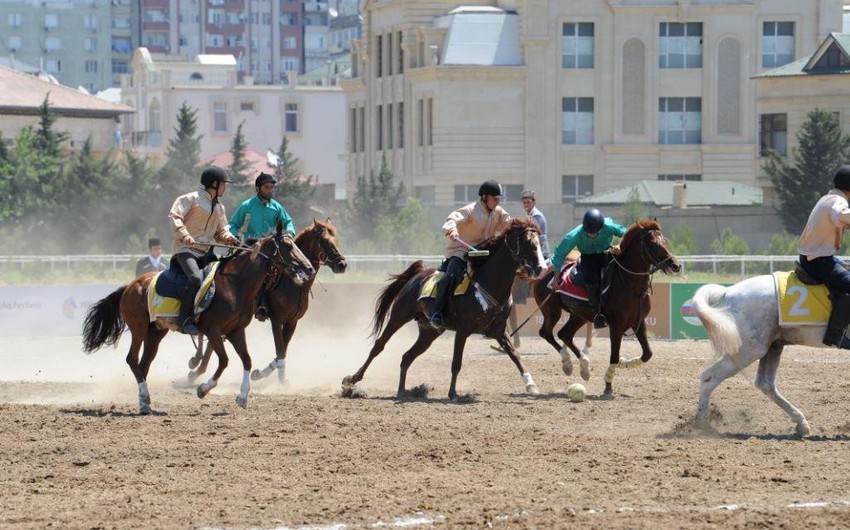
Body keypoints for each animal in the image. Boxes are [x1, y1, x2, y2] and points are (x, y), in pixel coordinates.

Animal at [81, 222, 314, 412]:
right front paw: (203, 389)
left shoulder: (236, 331)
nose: (309, 269)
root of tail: (129, 286)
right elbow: (224, 360)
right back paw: (146, 398)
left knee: (143, 364)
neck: (234, 284)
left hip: (156, 332)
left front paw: (242, 397)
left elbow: (247, 360)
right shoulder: (213, 331)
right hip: (138, 328)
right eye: (288, 247)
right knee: (132, 360)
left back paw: (145, 402)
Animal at [186, 217, 348, 382]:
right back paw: (196, 364)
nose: (342, 264)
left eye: (336, 239)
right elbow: (280, 350)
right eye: (324, 240)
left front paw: (261, 373)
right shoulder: (276, 319)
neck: (294, 284)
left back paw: (198, 368)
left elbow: (283, 351)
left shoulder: (292, 322)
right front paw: (279, 379)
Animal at [342, 219, 548, 400]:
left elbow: (515, 355)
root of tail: (417, 275)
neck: (487, 283)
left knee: (407, 357)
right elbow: (456, 363)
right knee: (379, 346)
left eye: (539, 242)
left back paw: (402, 391)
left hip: (429, 332)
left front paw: (531, 384)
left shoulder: (499, 331)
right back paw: (352, 380)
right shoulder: (463, 331)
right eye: (528, 243)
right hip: (399, 316)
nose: (541, 268)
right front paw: (453, 394)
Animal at [532, 217, 680, 394]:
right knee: (546, 333)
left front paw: (625, 363)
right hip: (551, 311)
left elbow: (647, 354)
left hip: (579, 315)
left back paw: (584, 368)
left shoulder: (639, 322)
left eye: (665, 241)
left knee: (564, 334)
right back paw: (568, 364)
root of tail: (547, 270)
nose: (675, 265)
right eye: (652, 243)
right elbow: (614, 356)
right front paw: (608, 384)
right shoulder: (616, 325)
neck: (628, 283)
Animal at [688, 274, 828, 436]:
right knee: (709, 377)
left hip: (772, 347)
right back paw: (703, 424)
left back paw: (801, 423)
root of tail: (729, 290)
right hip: (749, 351)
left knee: (765, 384)